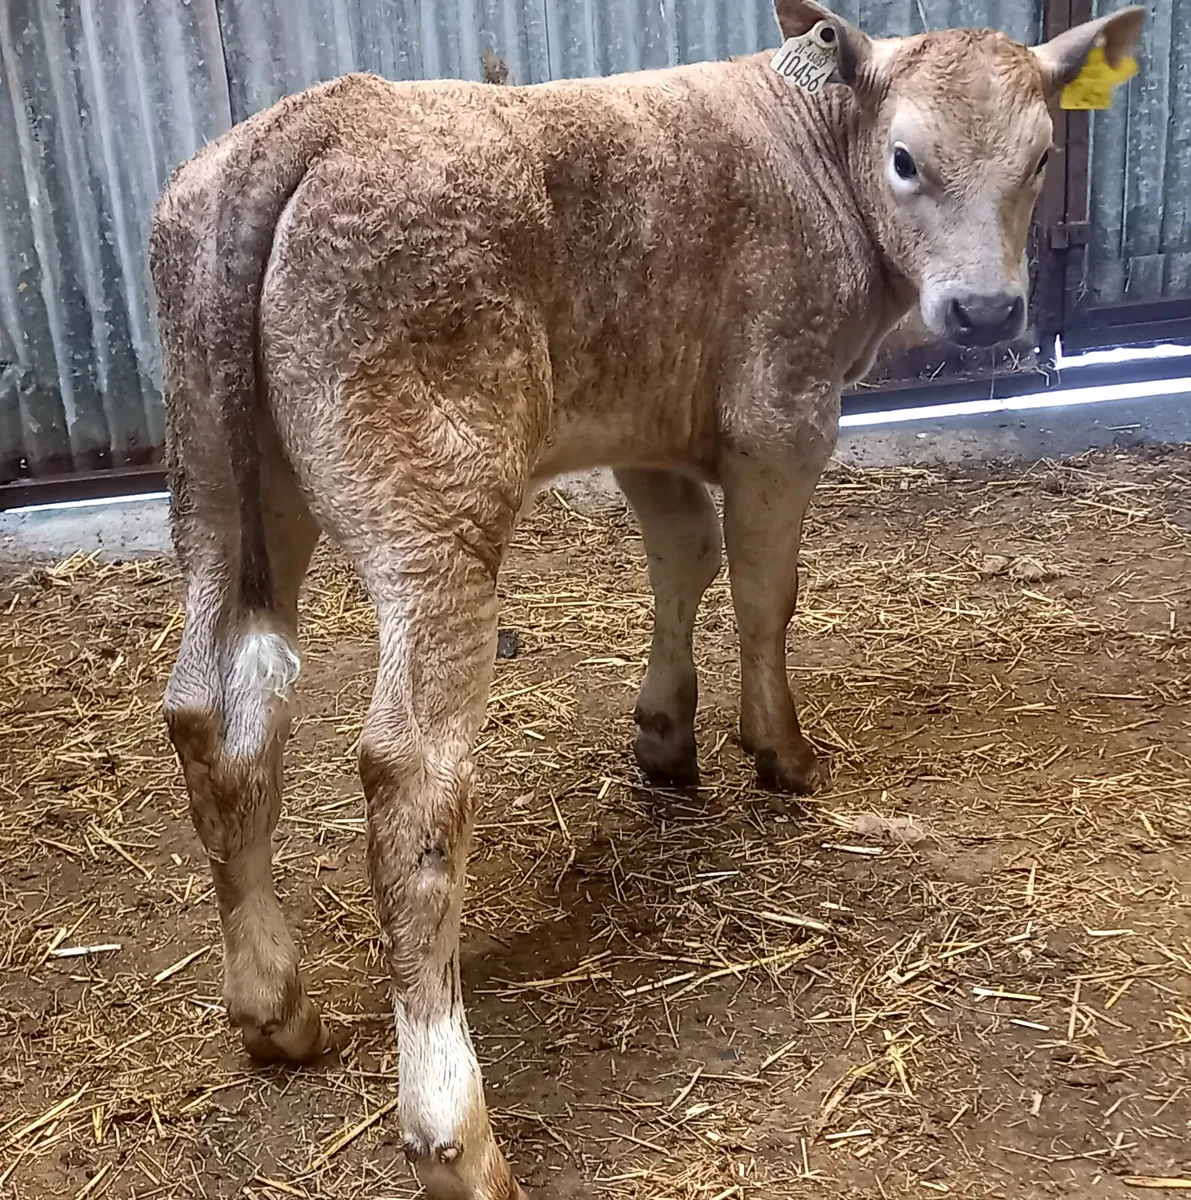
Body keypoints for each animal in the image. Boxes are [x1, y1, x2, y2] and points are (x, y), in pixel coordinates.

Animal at [149, 1, 1144, 1195]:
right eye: (906, 160)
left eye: (1041, 159)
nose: (989, 310)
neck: (819, 145)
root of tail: (312, 120)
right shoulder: (781, 408)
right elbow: (765, 584)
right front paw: (779, 751)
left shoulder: (649, 418)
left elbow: (683, 555)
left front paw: (667, 737)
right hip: (430, 495)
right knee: (409, 774)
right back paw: (456, 1136)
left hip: (220, 485)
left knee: (213, 713)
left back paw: (275, 1010)